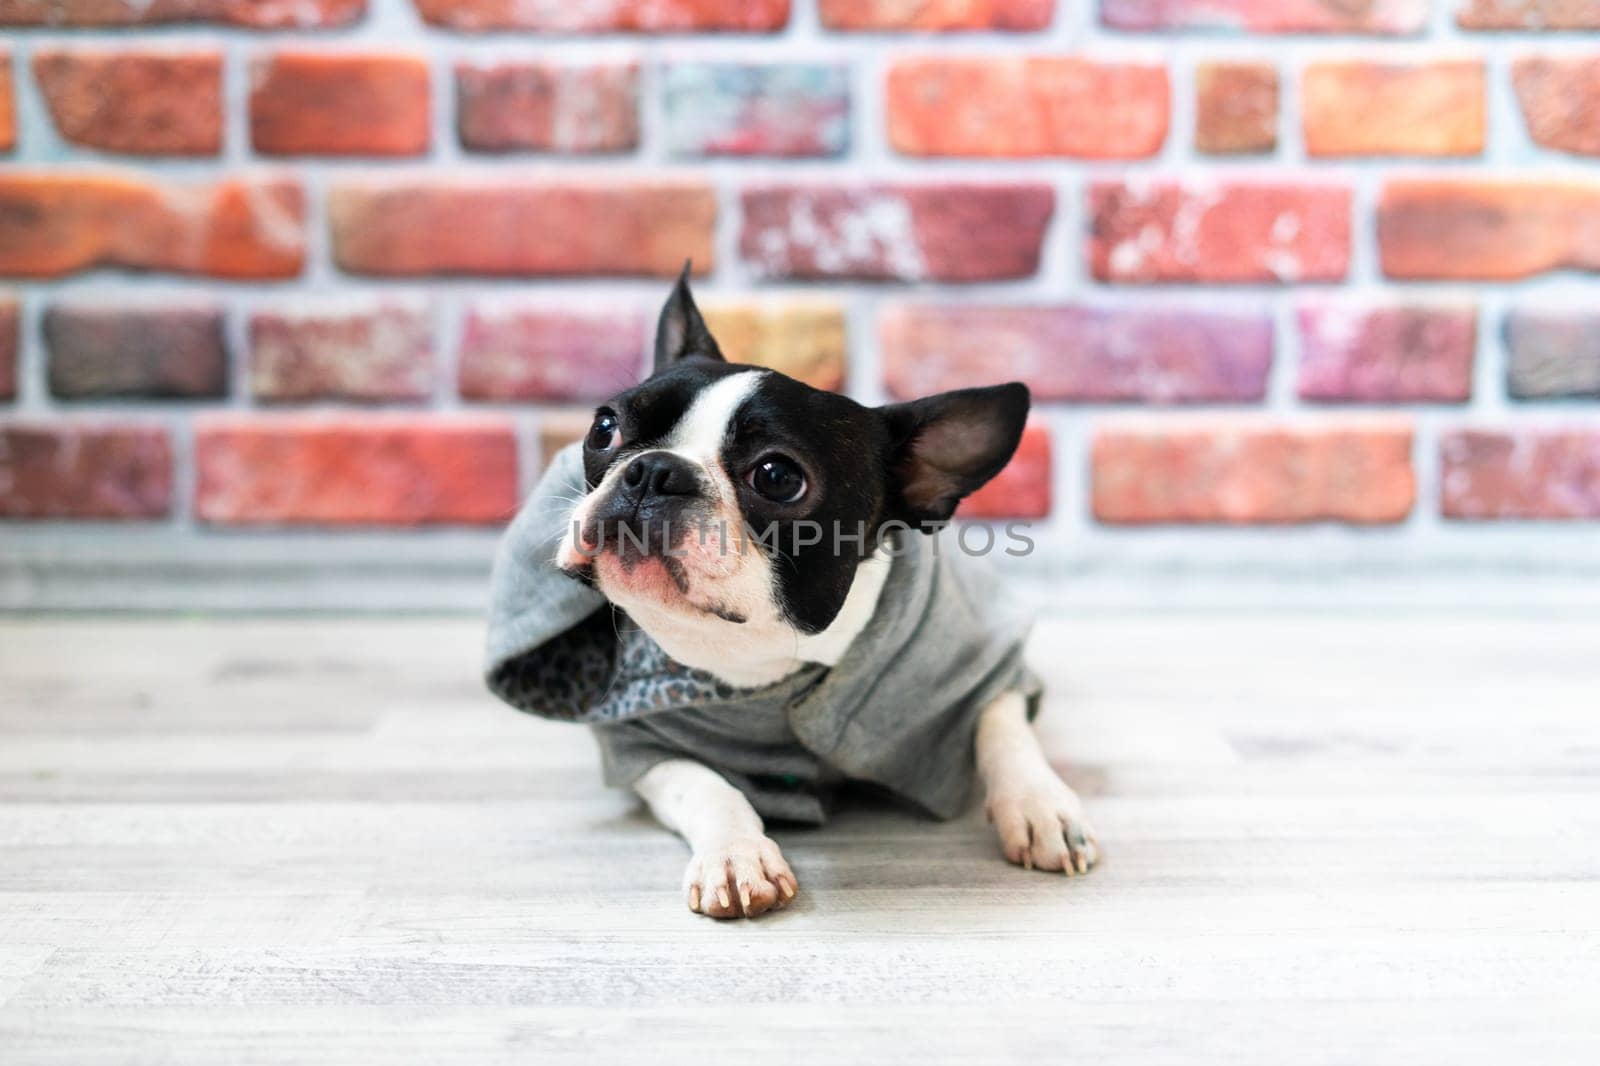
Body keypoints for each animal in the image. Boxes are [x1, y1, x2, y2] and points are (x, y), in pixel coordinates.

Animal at [480, 270, 1094, 915]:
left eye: (778, 477)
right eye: (604, 427)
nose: (653, 470)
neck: (769, 658)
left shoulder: (982, 657)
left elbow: (1000, 720)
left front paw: (1041, 807)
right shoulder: (638, 741)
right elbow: (702, 783)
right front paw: (735, 854)